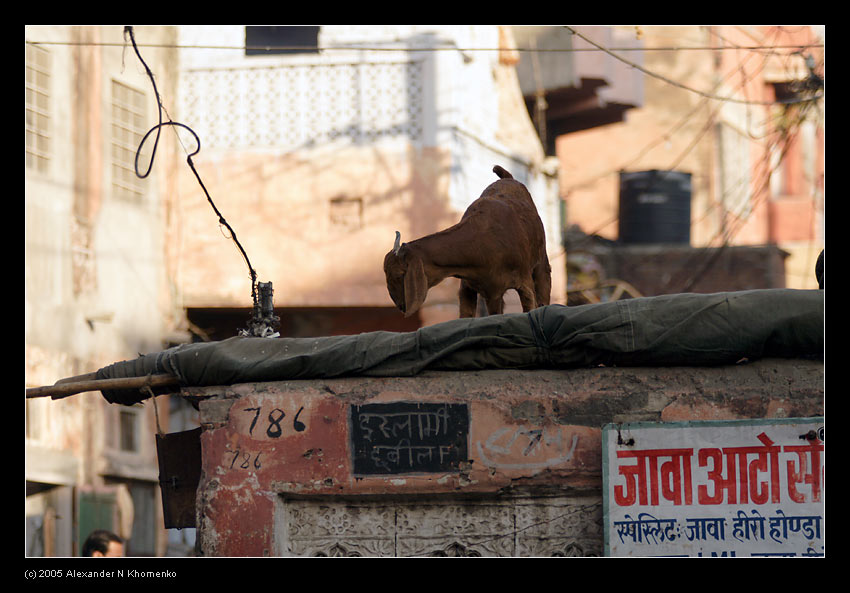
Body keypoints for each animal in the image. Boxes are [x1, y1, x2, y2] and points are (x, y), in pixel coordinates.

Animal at [382, 164, 548, 316]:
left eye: (399, 274)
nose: (401, 306)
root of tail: (508, 178)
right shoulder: (470, 288)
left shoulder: (520, 284)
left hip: (541, 261)